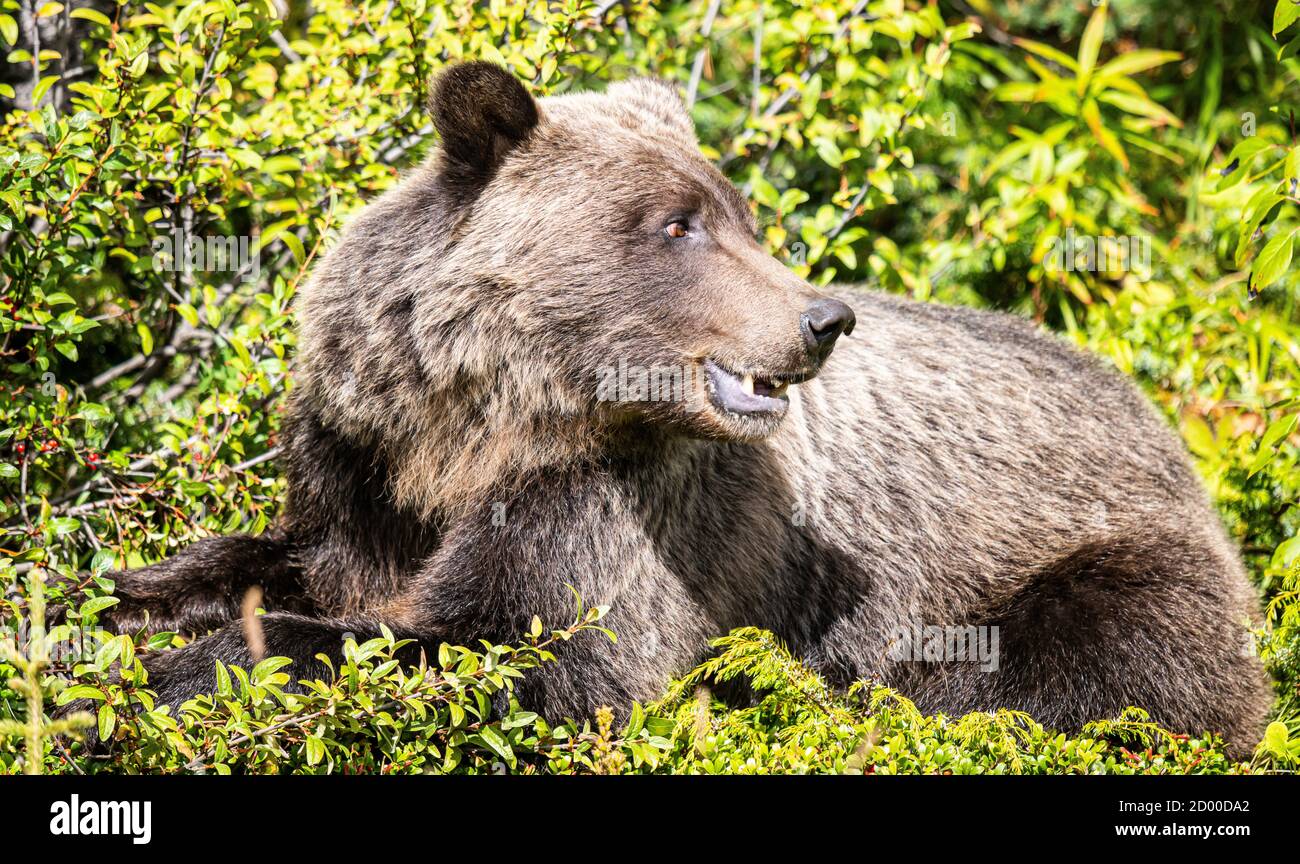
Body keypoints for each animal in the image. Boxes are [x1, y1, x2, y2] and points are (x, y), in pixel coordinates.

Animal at [73, 60, 1268, 753]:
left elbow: (536, 651)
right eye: (677, 223)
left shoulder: (621, 502)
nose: (822, 319)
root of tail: (1154, 417)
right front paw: (113, 607)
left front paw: (185, 668)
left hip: (1078, 550)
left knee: (1095, 661)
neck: (478, 424)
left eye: (739, 213)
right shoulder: (363, 461)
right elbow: (276, 558)